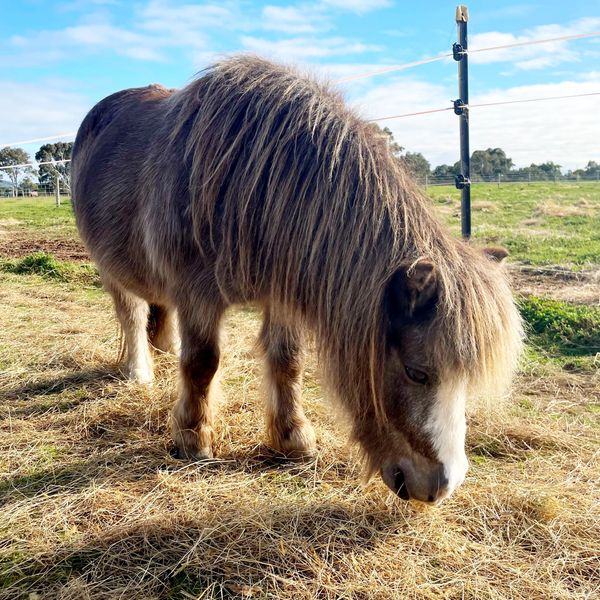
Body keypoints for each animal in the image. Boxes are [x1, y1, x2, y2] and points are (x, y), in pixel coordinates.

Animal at [70, 57, 524, 506]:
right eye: (417, 372)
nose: (442, 486)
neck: (249, 182)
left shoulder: (281, 293)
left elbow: (287, 361)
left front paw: (293, 438)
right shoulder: (197, 293)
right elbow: (202, 363)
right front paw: (193, 439)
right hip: (111, 268)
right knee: (132, 315)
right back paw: (139, 371)